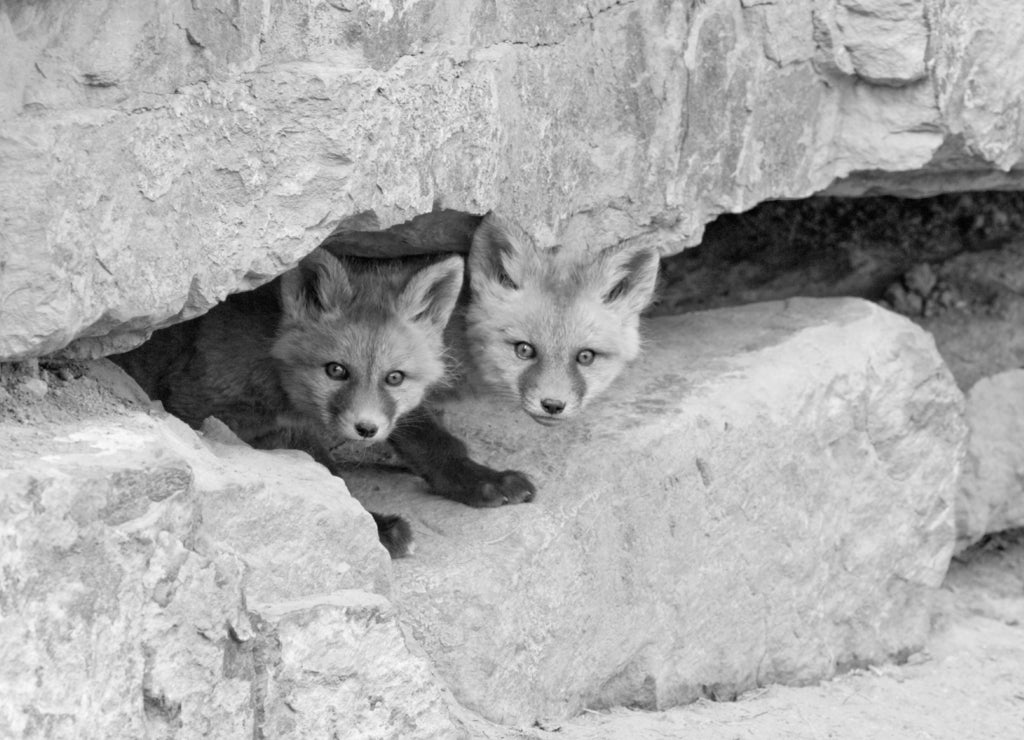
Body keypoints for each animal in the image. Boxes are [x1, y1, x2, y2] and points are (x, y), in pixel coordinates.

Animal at [111, 247, 465, 558]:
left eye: (394, 378)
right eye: (336, 370)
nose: (366, 429)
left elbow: (426, 435)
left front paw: (467, 478)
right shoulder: (199, 406)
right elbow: (330, 477)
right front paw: (377, 527)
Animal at [322, 209, 660, 507]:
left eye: (586, 357)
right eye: (524, 350)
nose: (553, 405)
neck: (456, 338)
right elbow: (434, 442)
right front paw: (478, 482)